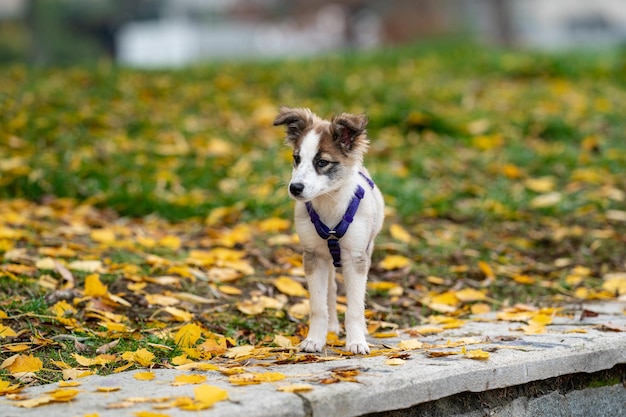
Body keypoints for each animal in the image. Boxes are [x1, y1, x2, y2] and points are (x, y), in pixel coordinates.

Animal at [274, 105, 382, 352]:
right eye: (296, 158)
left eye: (322, 162)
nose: (294, 188)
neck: (329, 205)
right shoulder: (313, 256)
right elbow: (318, 305)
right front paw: (314, 339)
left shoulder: (356, 257)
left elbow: (355, 306)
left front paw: (356, 341)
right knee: (331, 291)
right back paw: (332, 327)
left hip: (367, 248)